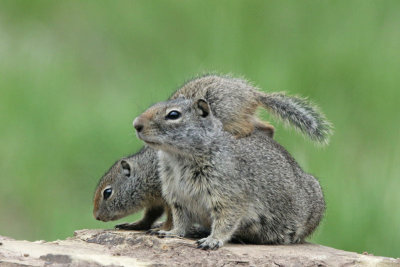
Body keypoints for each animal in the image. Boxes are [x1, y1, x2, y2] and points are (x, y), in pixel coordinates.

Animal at [93, 75, 332, 232]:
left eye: (107, 192)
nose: (96, 216)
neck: (147, 171)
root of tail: (252, 93)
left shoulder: (166, 196)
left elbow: (170, 216)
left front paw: (165, 229)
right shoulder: (159, 200)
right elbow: (149, 216)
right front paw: (136, 225)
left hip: (233, 115)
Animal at [133, 98, 326, 251]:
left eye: (173, 115)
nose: (136, 124)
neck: (177, 159)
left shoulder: (228, 195)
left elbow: (225, 221)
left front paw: (212, 240)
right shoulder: (178, 198)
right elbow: (180, 221)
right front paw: (172, 232)